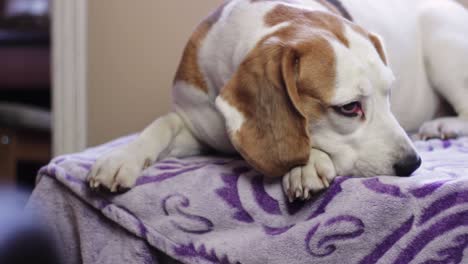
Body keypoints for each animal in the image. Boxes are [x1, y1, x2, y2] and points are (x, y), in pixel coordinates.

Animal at [86, 0, 468, 202]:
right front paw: (121, 158)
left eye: (389, 94)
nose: (412, 164)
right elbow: (161, 124)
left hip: (443, 45)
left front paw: (305, 165)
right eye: (349, 108)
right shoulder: (196, 124)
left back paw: (442, 125)